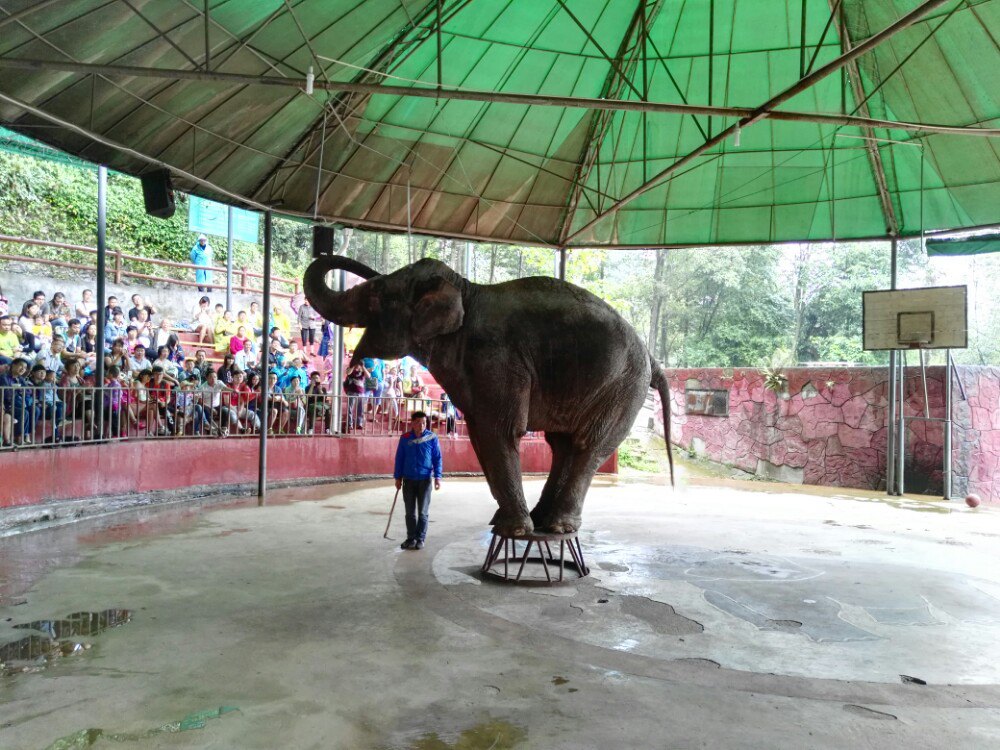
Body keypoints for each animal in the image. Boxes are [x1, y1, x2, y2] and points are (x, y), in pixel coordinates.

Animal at [304, 256, 672, 536]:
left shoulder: (496, 358)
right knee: (562, 444)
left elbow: (500, 430)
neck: (464, 288)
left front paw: (512, 532)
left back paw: (557, 527)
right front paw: (504, 525)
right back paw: (542, 520)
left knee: (588, 445)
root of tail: (652, 358)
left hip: (622, 388)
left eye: (377, 294)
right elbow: (481, 435)